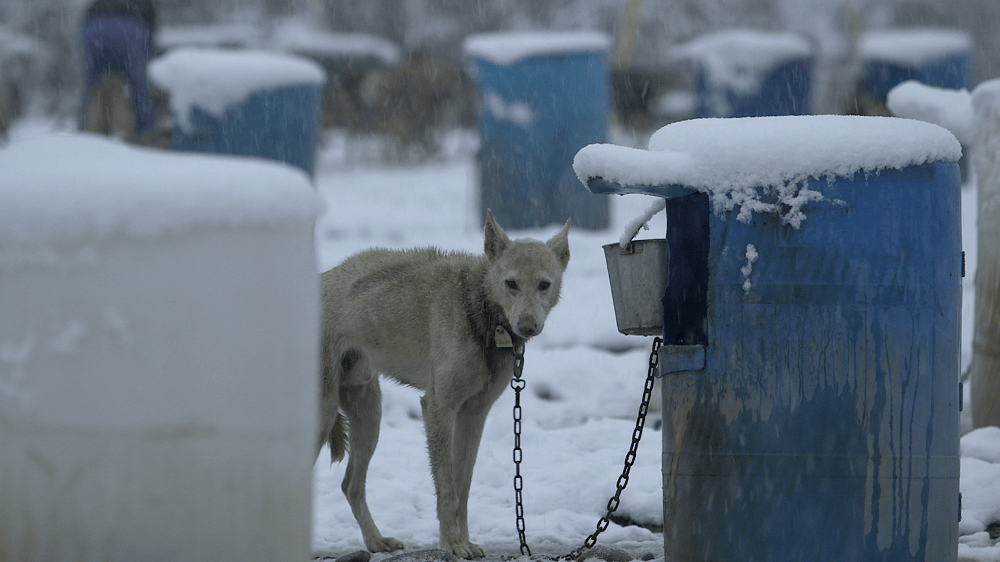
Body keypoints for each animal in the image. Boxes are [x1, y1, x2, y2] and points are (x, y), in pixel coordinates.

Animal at [320, 210, 572, 556]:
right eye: (511, 284)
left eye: (543, 285)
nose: (528, 326)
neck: (478, 308)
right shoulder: (438, 406)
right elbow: (446, 486)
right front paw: (452, 544)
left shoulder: (473, 414)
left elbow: (462, 487)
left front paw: (464, 542)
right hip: (322, 419)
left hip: (369, 419)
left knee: (350, 485)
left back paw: (376, 542)